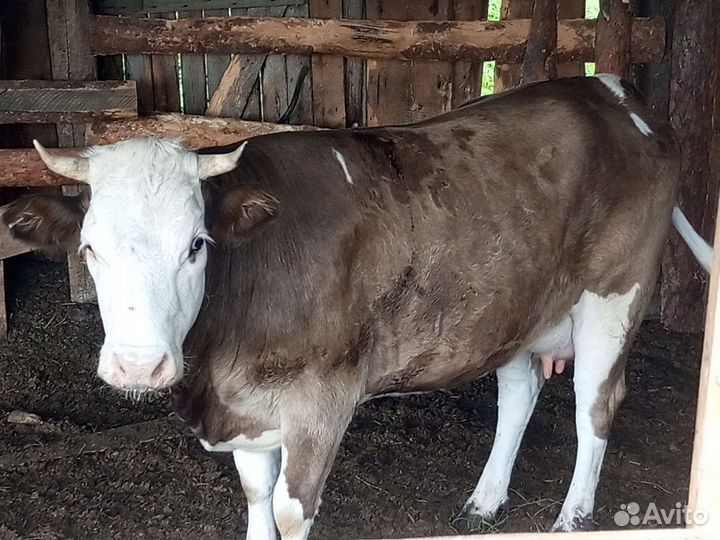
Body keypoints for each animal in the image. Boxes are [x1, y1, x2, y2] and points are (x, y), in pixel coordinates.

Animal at [1, 75, 712, 539]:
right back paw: (484, 502)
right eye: (89, 248)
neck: (217, 371)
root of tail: (614, 92)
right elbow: (256, 499)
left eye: (196, 245)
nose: (138, 366)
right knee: (519, 395)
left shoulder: (322, 400)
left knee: (596, 405)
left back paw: (572, 516)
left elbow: (289, 512)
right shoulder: (246, 408)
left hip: (613, 300)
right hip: (510, 306)